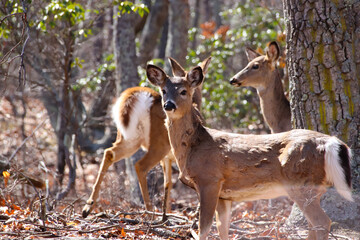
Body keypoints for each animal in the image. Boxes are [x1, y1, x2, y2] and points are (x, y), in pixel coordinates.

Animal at [81, 56, 211, 219]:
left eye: (183, 91)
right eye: (164, 90)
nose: (169, 105)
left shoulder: (168, 158)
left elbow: (167, 184)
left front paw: (167, 214)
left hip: (129, 138)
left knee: (109, 153)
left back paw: (88, 207)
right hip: (158, 144)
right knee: (140, 166)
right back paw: (150, 214)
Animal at [147, 59, 354, 240]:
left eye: (183, 91)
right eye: (163, 90)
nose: (169, 105)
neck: (193, 147)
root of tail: (332, 143)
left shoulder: (210, 180)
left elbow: (203, 230)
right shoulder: (224, 195)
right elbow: (222, 229)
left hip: (301, 182)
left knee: (322, 222)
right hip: (312, 187)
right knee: (313, 225)